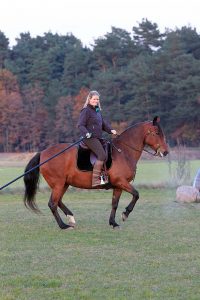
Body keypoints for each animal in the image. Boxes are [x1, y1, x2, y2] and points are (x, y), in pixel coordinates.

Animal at [23, 116, 169, 229]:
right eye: (157, 133)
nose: (166, 152)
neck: (123, 152)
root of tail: (43, 153)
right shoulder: (121, 182)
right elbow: (136, 194)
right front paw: (125, 214)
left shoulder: (118, 186)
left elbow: (115, 204)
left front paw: (113, 222)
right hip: (58, 184)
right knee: (52, 203)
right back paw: (63, 225)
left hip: (64, 184)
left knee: (58, 201)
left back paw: (70, 218)